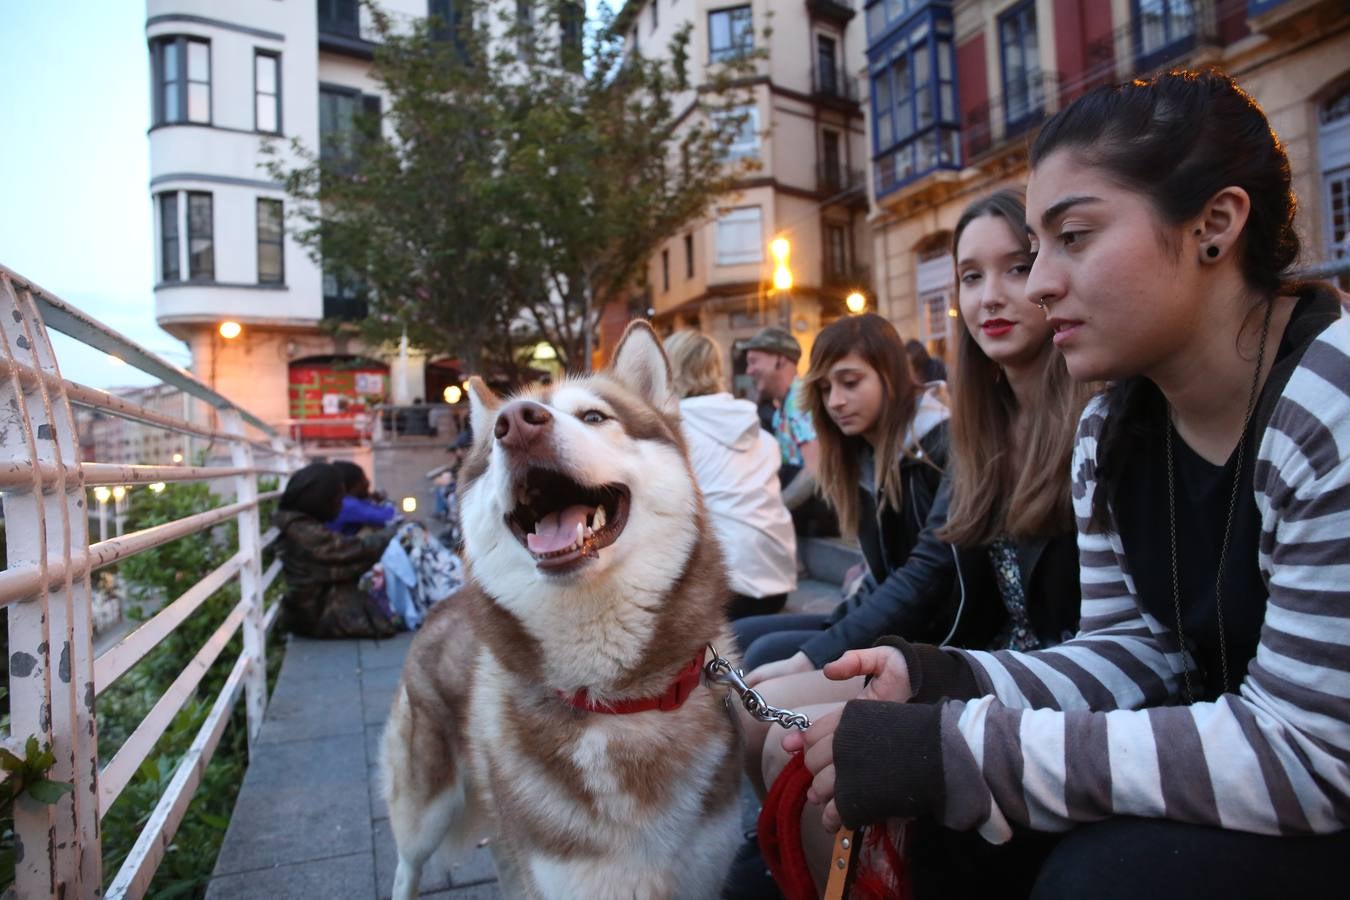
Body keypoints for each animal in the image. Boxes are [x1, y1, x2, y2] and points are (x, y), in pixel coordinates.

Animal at [380, 319, 745, 895]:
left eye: (594, 416)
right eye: (496, 436)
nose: (515, 425)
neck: (612, 704)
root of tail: (442, 605)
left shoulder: (701, 873)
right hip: (425, 807)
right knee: (407, 864)